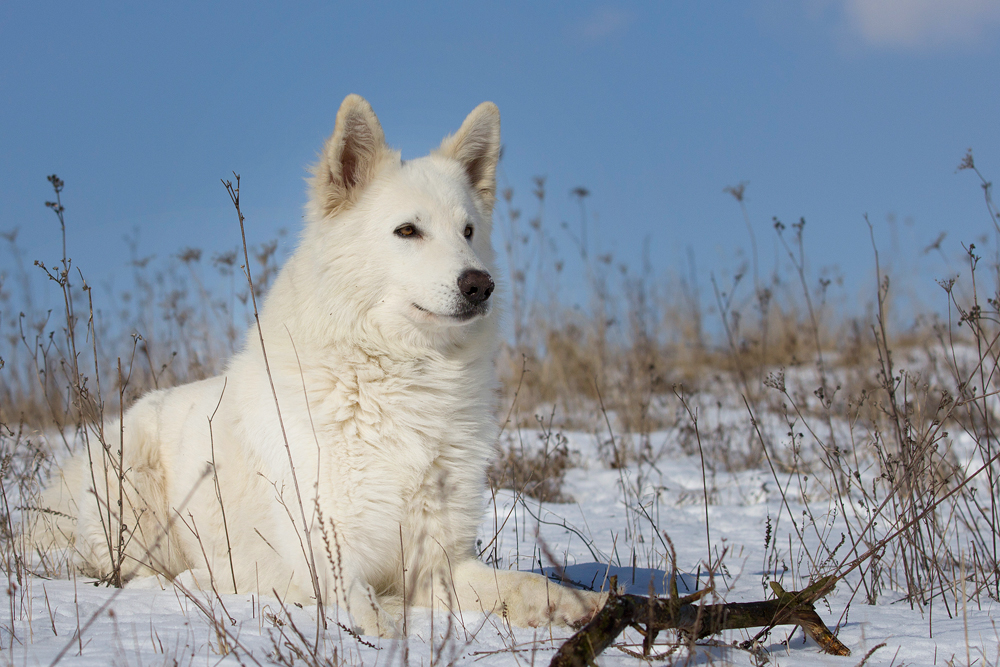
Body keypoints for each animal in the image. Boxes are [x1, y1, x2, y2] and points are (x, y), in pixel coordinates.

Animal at [39, 94, 600, 636]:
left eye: (467, 231)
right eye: (408, 231)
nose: (480, 284)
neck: (403, 384)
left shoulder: (437, 562)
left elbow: (523, 584)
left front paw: (580, 604)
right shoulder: (328, 559)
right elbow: (371, 617)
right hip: (133, 499)